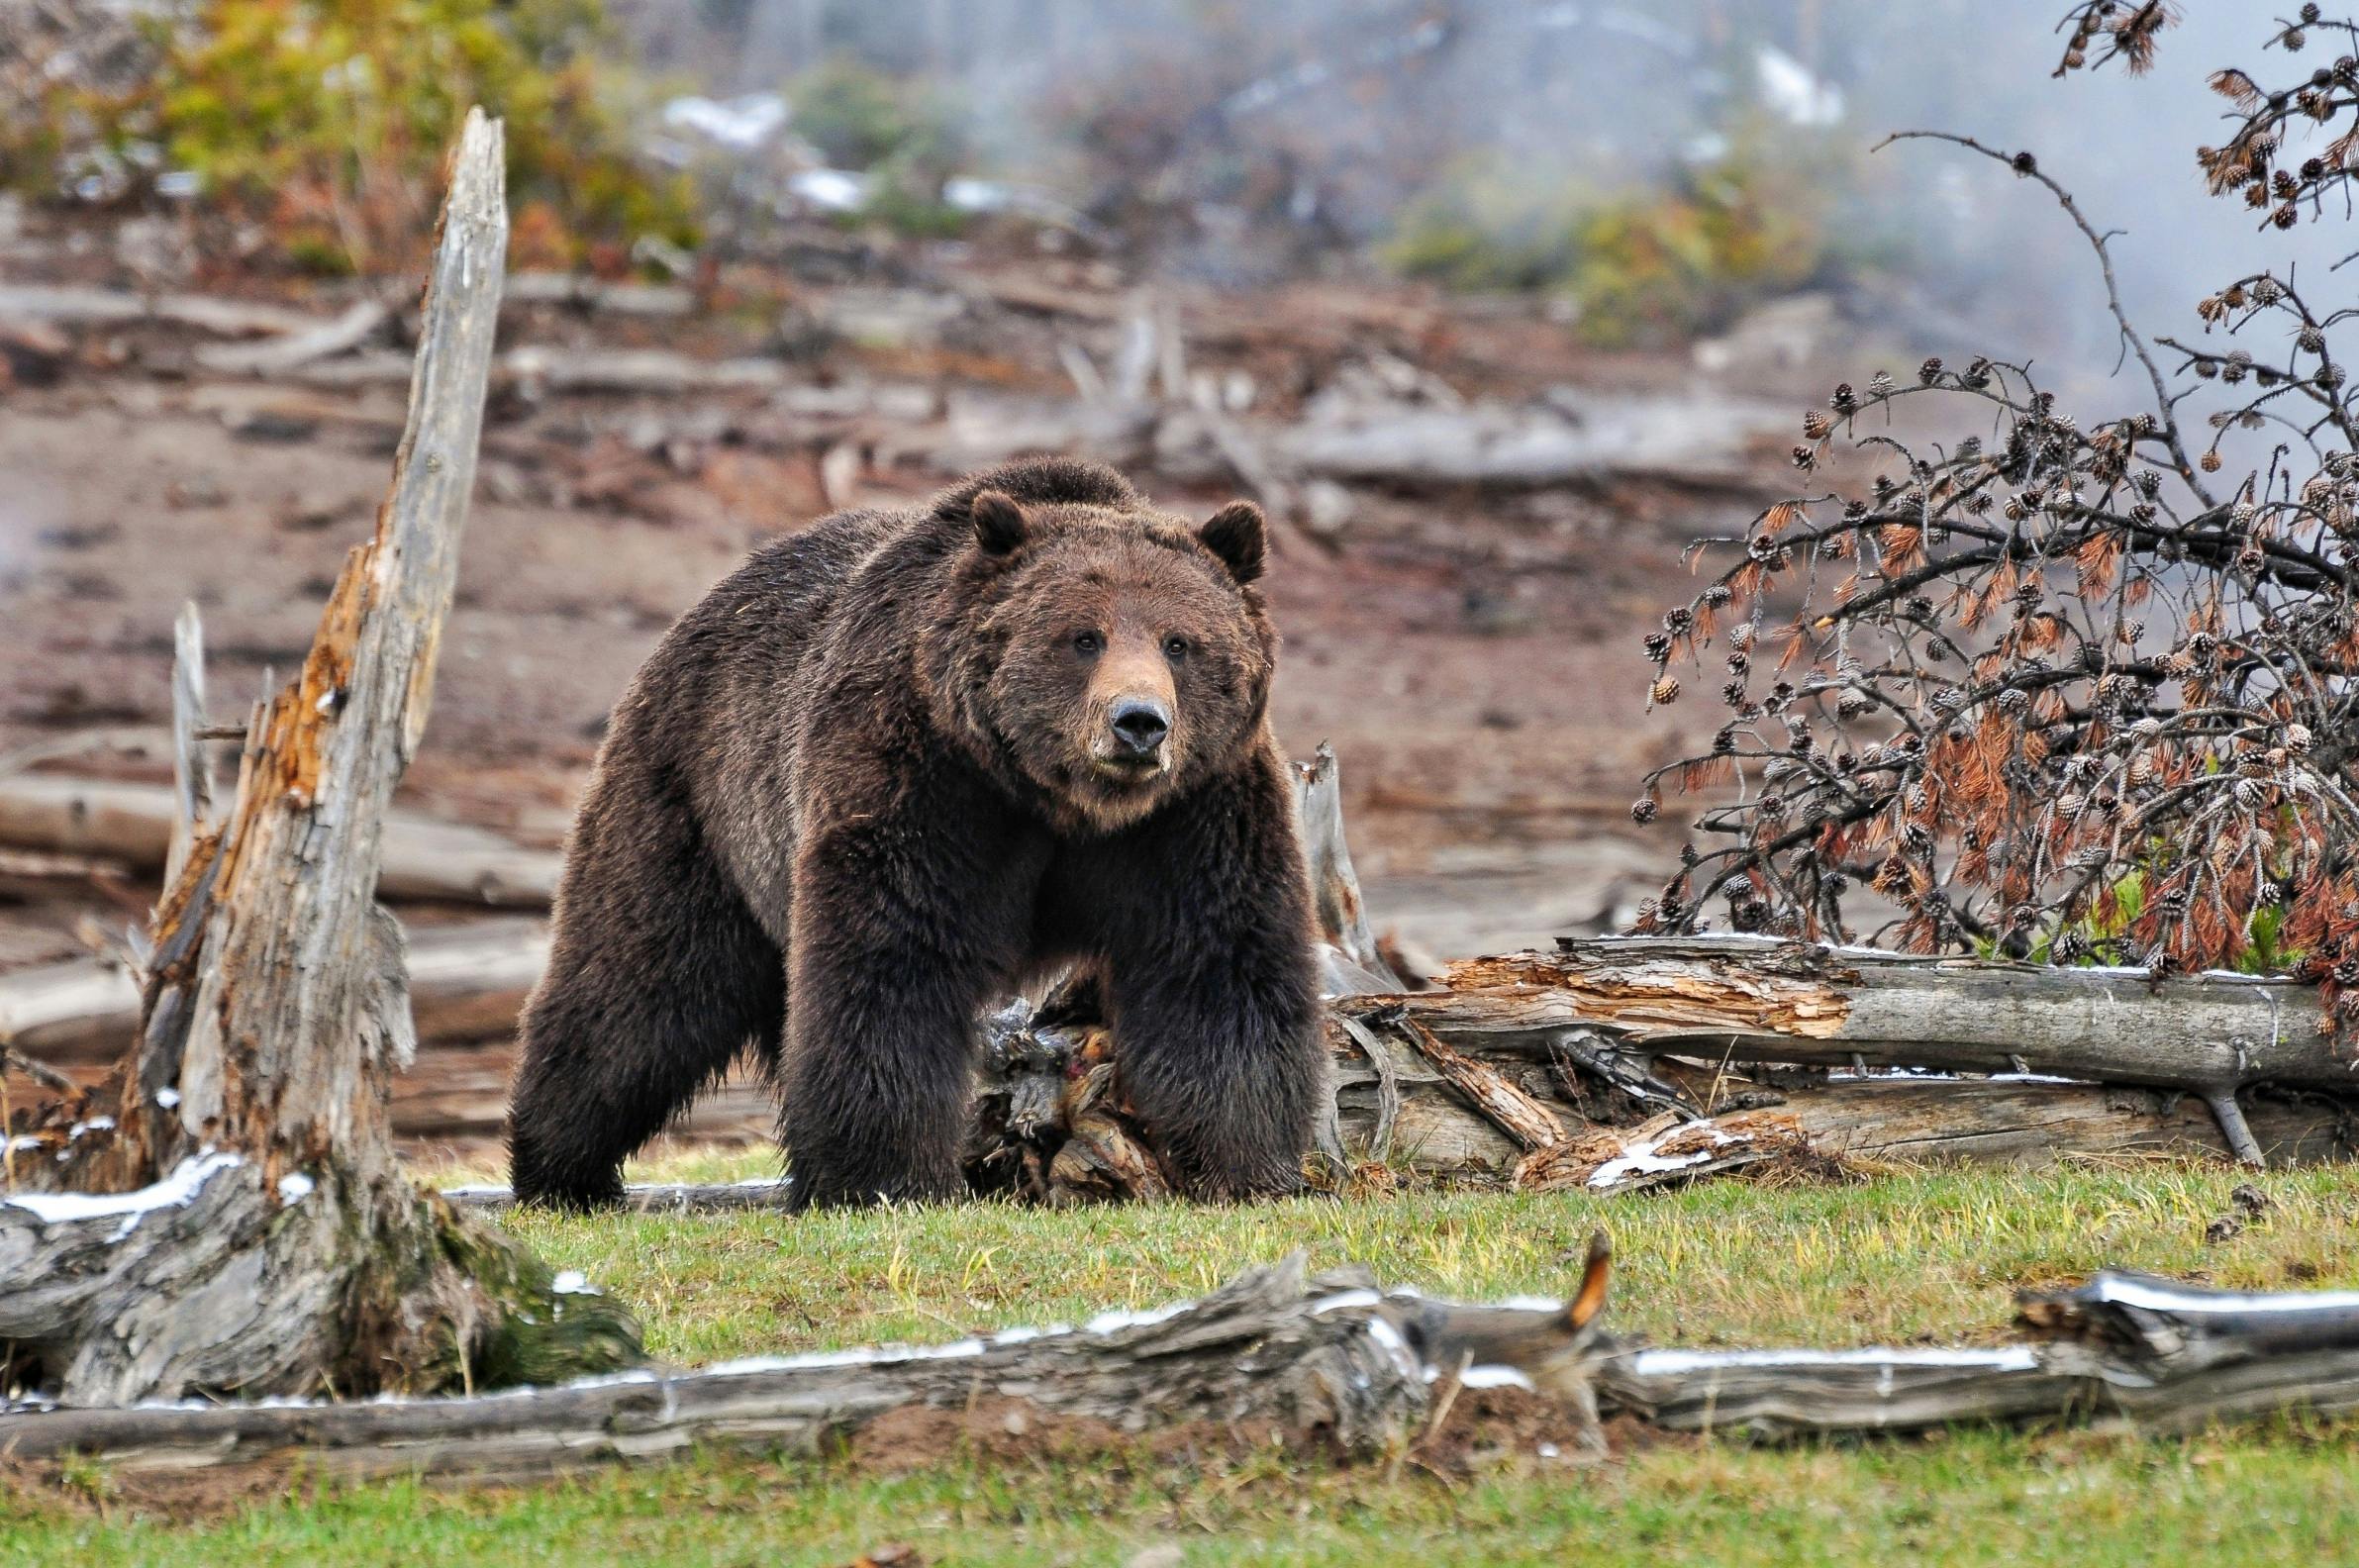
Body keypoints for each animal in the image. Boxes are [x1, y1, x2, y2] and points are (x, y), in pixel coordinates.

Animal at [509, 452, 1330, 1207]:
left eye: (1178, 641)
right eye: (1083, 637)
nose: (1138, 723)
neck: (1062, 800)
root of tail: (707, 607)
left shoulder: (1192, 816)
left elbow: (1217, 964)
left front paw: (1248, 1165)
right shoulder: (926, 782)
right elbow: (895, 959)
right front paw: (884, 1178)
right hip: (699, 801)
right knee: (639, 983)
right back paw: (560, 1171)